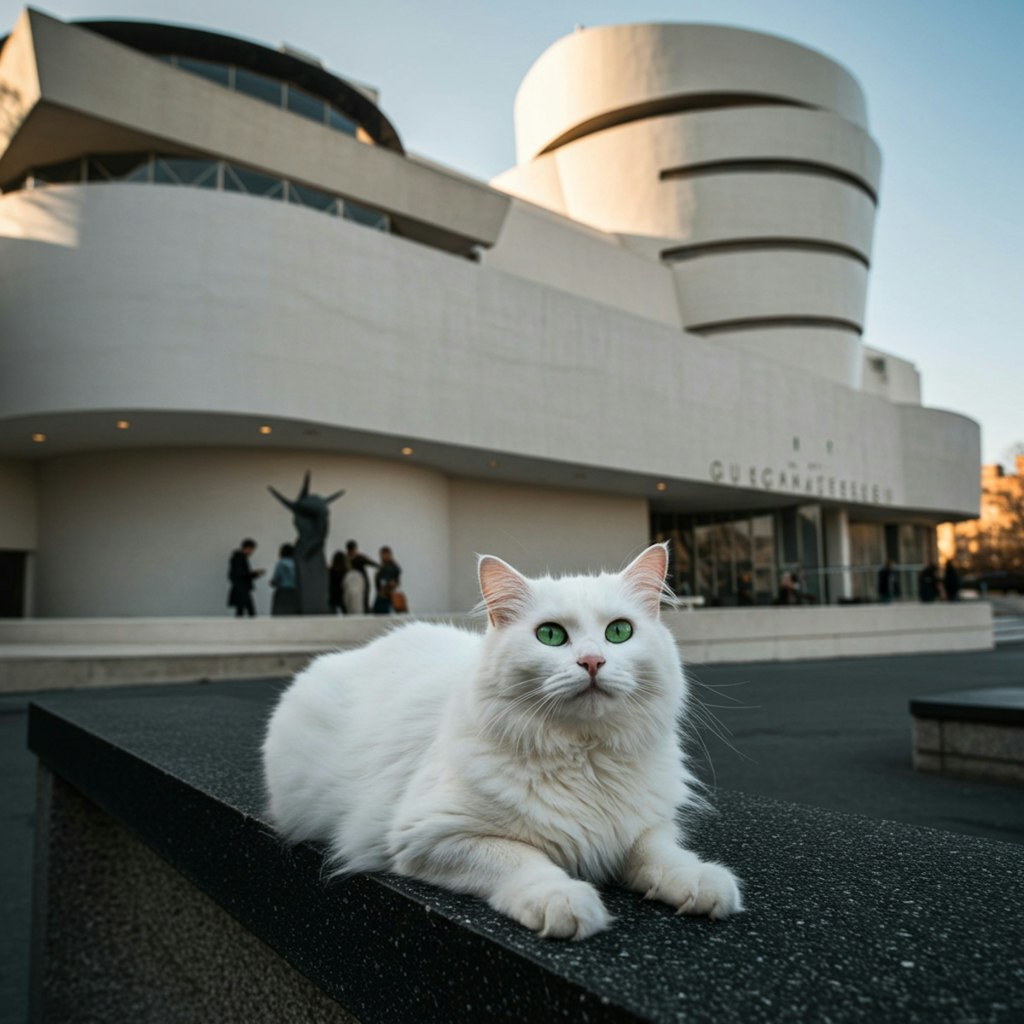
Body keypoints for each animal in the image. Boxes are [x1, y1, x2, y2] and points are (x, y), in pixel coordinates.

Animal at [262, 548, 745, 937]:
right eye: (550, 635)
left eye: (619, 632)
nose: (592, 661)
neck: (585, 756)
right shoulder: (433, 834)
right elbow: (523, 860)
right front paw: (564, 901)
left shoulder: (644, 824)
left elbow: (660, 853)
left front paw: (700, 881)